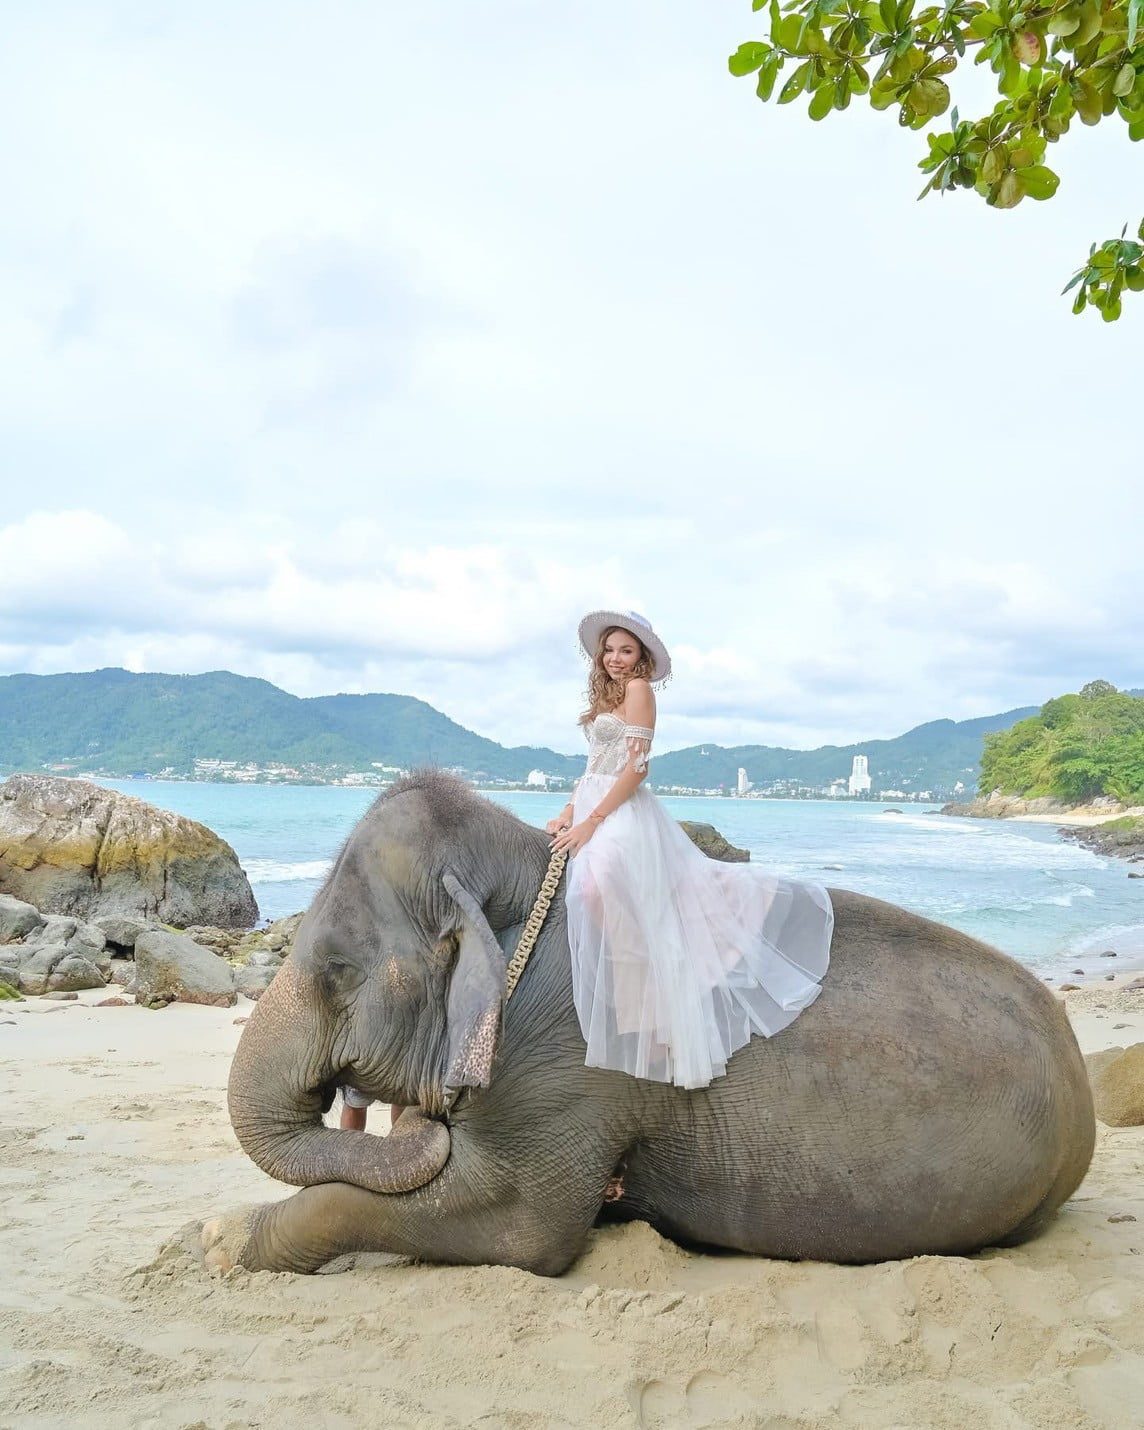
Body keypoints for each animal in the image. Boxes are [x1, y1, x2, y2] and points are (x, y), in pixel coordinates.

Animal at [200, 770, 1095, 1277]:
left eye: (336, 969)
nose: (423, 1117)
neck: (527, 870)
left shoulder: (567, 1062)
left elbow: (525, 1229)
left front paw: (218, 1240)